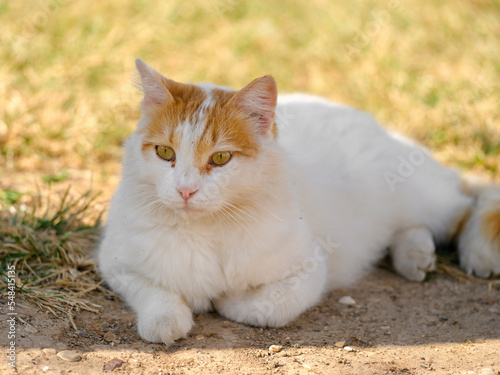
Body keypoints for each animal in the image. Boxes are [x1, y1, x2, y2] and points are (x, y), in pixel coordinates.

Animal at [97, 58, 500, 344]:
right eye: (165, 153)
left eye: (221, 158)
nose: (184, 190)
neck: (206, 230)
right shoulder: (116, 263)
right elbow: (155, 296)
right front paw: (167, 318)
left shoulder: (308, 269)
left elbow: (264, 307)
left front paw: (223, 301)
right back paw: (415, 256)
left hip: (420, 194)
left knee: (470, 200)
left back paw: (474, 253)